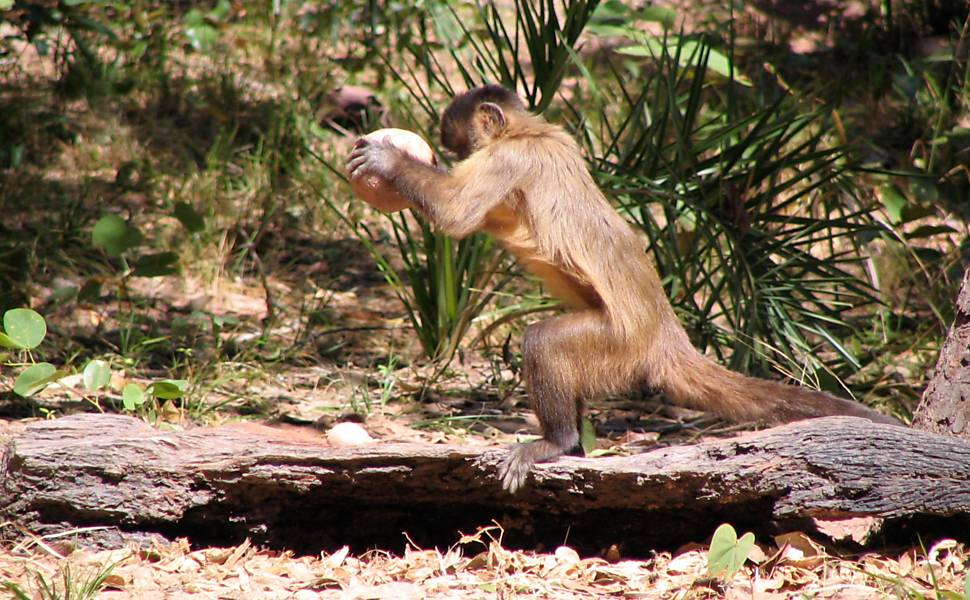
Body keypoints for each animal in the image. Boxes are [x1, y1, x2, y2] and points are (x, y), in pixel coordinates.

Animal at [344, 86, 896, 494]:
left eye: (458, 146)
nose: (452, 154)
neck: (531, 129)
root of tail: (666, 335)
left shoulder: (511, 157)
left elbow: (458, 215)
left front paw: (388, 162)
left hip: (620, 348)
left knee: (543, 340)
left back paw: (558, 442)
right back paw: (573, 446)